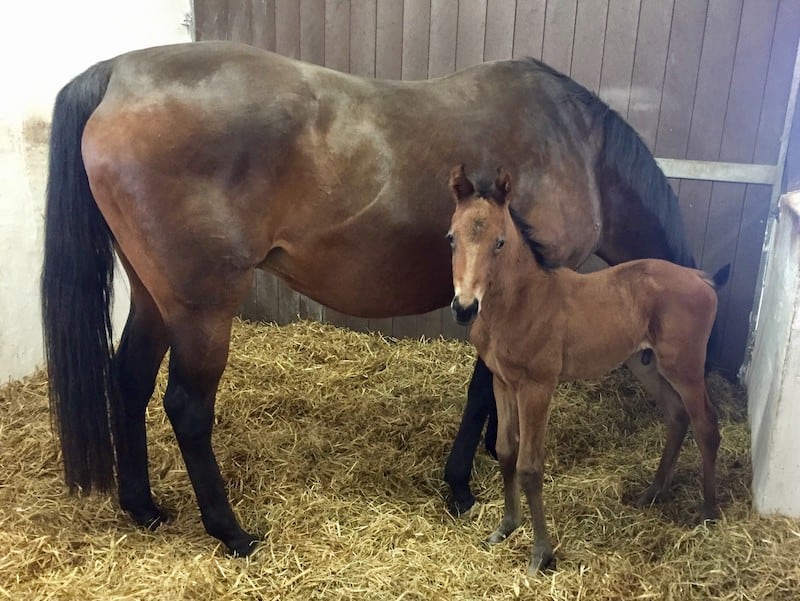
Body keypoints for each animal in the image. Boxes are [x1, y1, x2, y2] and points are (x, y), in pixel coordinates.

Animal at [42, 39, 692, 556]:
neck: (578, 146)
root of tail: (119, 74)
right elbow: (483, 391)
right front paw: (461, 484)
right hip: (202, 310)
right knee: (186, 407)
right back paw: (233, 533)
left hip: (156, 298)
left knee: (129, 380)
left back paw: (144, 508)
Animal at [446, 164, 720, 572]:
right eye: (451, 239)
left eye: (499, 242)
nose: (464, 307)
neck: (521, 301)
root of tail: (701, 278)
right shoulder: (502, 381)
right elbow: (506, 451)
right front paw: (505, 528)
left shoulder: (538, 386)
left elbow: (529, 466)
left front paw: (541, 555)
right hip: (648, 366)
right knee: (677, 416)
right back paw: (652, 494)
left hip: (685, 368)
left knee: (706, 426)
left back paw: (708, 511)